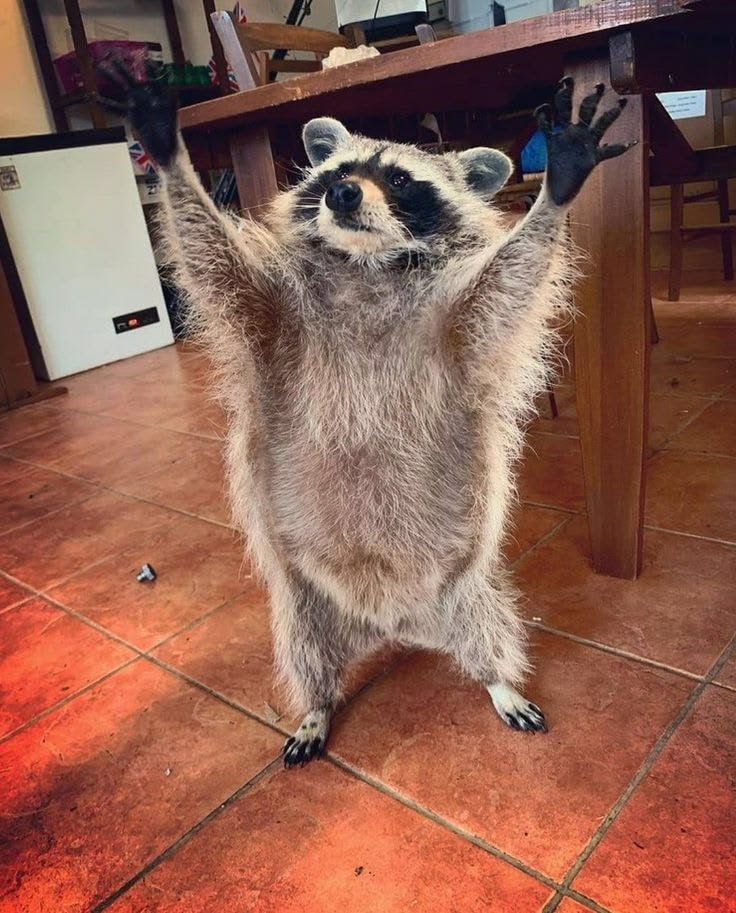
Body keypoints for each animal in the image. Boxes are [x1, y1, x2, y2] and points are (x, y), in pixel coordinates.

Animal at [117, 65, 634, 766]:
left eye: (399, 180)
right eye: (340, 168)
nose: (340, 193)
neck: (365, 267)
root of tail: (394, 622)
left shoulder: (453, 328)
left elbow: (509, 281)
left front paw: (556, 189)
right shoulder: (274, 322)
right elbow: (213, 264)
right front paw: (166, 151)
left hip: (465, 590)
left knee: (490, 631)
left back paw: (498, 680)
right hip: (305, 601)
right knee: (305, 651)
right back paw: (316, 705)